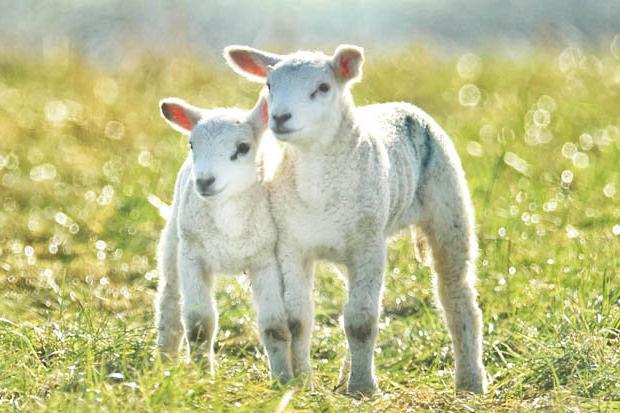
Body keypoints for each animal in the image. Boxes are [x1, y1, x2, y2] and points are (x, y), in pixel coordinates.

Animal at [154, 91, 292, 382]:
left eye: (243, 147)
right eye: (191, 144)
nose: (205, 181)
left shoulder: (266, 259)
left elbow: (274, 326)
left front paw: (284, 380)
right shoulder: (192, 256)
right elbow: (199, 325)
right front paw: (203, 376)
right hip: (174, 244)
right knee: (169, 304)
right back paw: (164, 363)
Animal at [224, 43, 490, 394]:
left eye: (323, 88)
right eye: (269, 85)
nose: (280, 117)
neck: (318, 184)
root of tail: (403, 105)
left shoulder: (368, 245)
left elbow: (362, 322)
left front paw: (364, 387)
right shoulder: (291, 246)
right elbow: (299, 320)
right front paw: (304, 383)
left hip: (448, 208)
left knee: (456, 295)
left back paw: (470, 381)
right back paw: (344, 378)